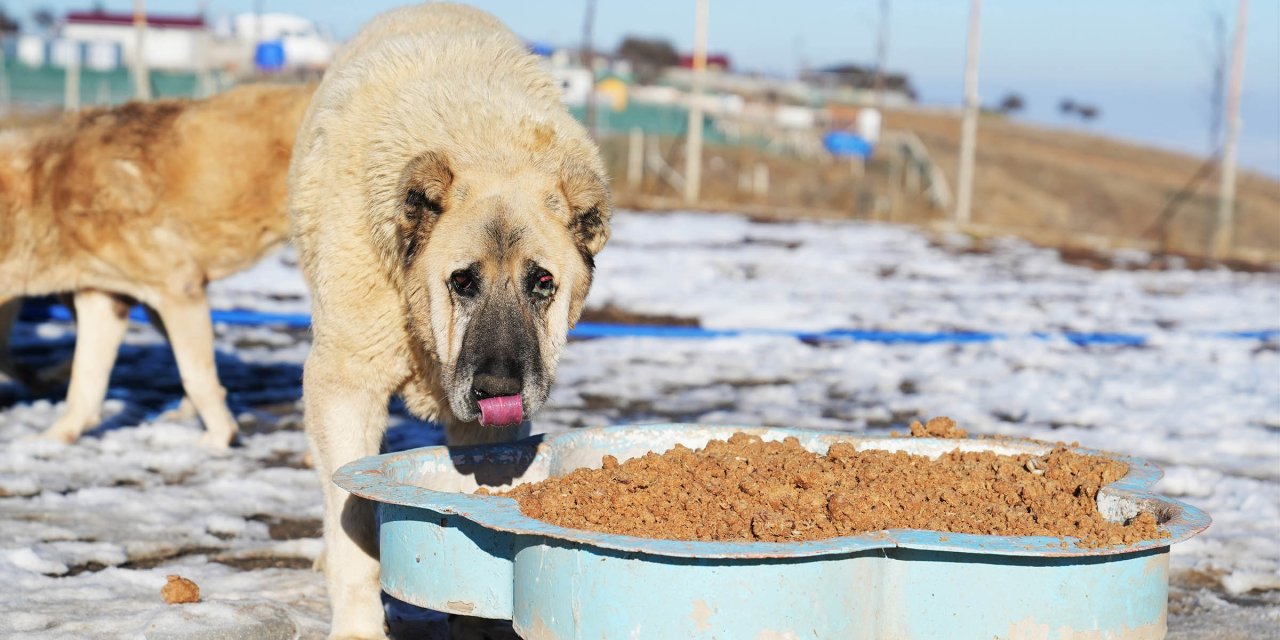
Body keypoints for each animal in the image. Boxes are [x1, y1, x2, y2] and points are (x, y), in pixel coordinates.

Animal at [0, 82, 314, 448]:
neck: (46, 191)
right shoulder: (104, 299)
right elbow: (84, 384)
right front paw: (54, 438)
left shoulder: (178, 290)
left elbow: (196, 377)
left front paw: (219, 438)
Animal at [290, 2, 609, 637]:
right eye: (462, 281)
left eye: (542, 283)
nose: (498, 387)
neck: (487, 146)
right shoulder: (344, 384)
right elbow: (351, 517)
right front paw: (358, 625)